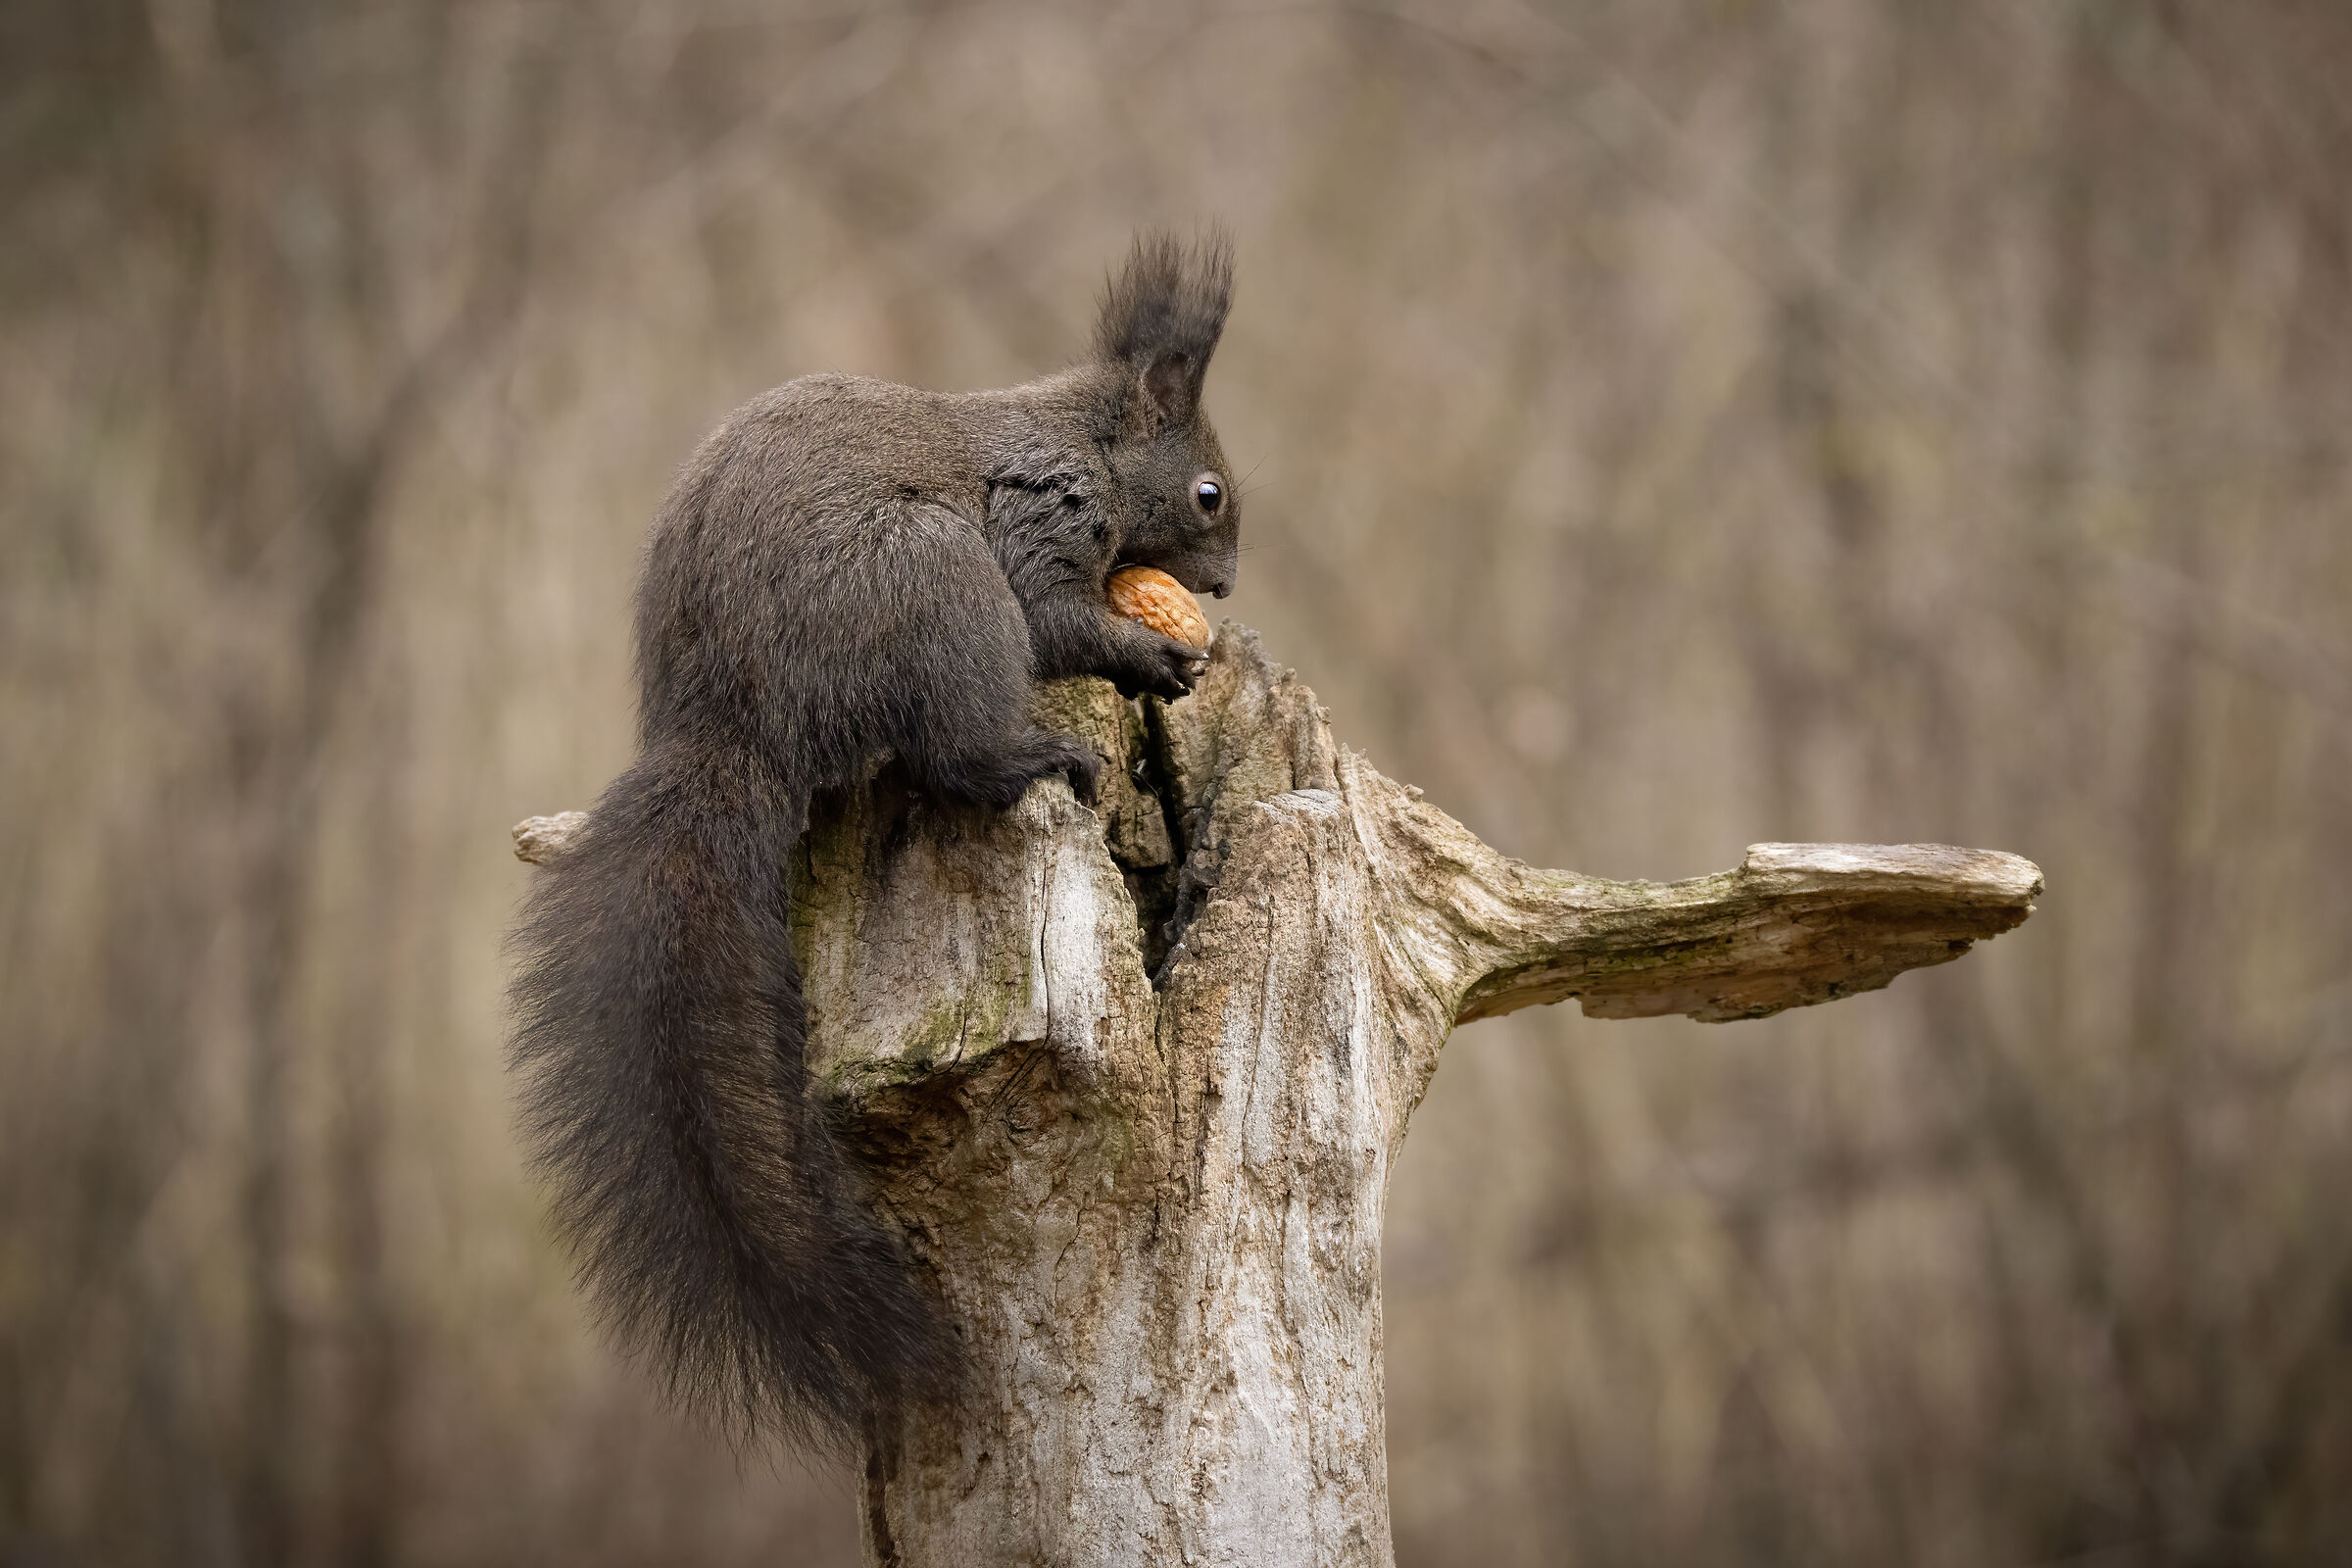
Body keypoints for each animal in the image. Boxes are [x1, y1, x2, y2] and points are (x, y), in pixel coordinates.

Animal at [507, 232, 1238, 1454]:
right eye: (1209, 493)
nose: (1225, 585)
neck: (1078, 441)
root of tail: (732, 724)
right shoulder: (1036, 530)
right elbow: (1058, 622)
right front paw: (1151, 654)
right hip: (934, 582)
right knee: (956, 746)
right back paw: (1035, 758)